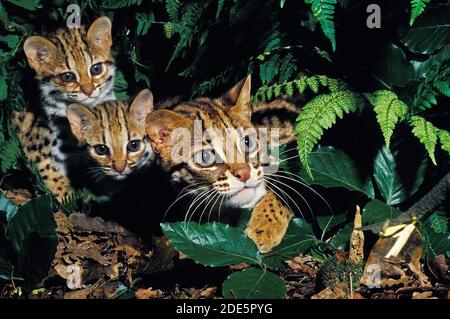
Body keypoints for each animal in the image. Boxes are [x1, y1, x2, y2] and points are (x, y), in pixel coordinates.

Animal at [13, 16, 117, 201]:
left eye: (96, 68)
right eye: (67, 76)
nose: (88, 91)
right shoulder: (33, 146)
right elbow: (50, 172)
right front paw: (67, 197)